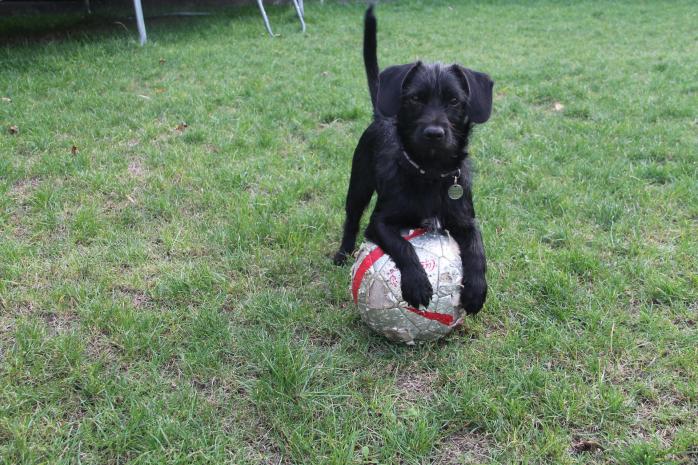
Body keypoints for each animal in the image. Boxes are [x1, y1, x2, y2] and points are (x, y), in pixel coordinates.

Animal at [330, 5, 490, 316]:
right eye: (415, 99)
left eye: (454, 101)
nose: (434, 133)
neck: (430, 173)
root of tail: (380, 116)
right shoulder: (379, 223)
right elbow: (403, 245)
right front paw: (417, 283)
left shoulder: (466, 220)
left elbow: (477, 248)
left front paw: (477, 288)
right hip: (358, 186)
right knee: (351, 219)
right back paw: (342, 253)